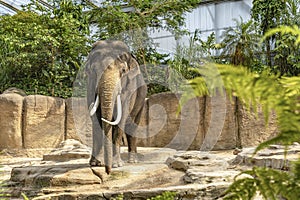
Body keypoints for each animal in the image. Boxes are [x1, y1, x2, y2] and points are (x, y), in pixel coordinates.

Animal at [85, 40, 147, 173]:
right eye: (94, 71)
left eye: (123, 71)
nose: (108, 171)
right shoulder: (90, 85)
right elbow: (96, 118)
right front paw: (95, 164)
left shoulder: (128, 88)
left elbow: (121, 117)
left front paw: (117, 165)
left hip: (141, 98)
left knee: (132, 126)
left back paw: (132, 161)